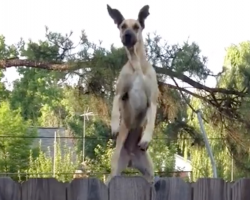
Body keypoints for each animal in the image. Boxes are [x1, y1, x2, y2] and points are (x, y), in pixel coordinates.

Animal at [105, 3, 158, 184]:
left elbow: (151, 122)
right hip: (115, 169)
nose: (127, 35)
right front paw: (115, 126)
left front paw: (146, 138)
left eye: (136, 27)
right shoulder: (119, 92)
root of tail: (130, 159)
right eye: (122, 26)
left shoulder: (152, 100)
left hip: (149, 172)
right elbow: (114, 110)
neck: (136, 63)